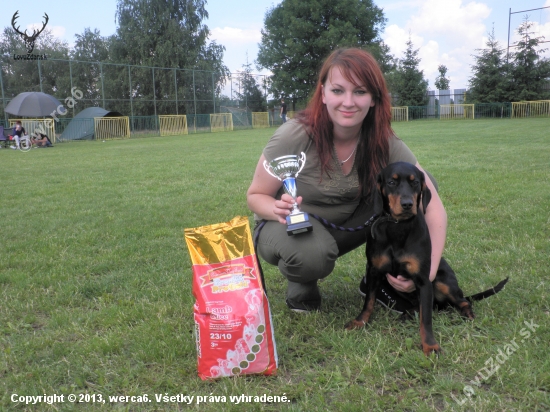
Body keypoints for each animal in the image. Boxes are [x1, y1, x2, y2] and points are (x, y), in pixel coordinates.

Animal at [348, 163, 512, 356]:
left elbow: (426, 318)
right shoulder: (374, 271)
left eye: (415, 183)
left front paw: (430, 345)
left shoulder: (424, 280)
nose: (407, 204)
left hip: (443, 282)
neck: (398, 228)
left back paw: (466, 313)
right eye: (391, 182)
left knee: (462, 301)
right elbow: (369, 302)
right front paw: (359, 322)